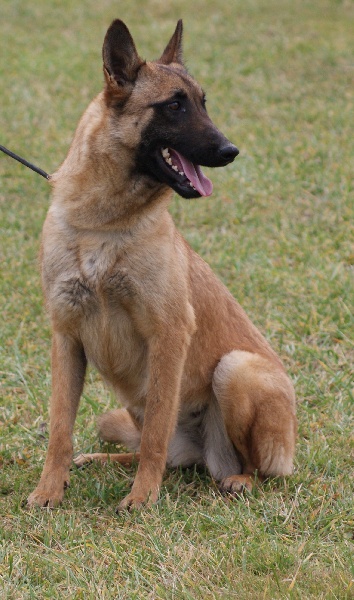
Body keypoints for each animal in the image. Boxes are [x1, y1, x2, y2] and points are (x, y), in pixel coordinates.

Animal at [28, 19, 296, 510]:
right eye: (174, 105)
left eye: (204, 103)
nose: (231, 150)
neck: (103, 224)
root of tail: (207, 457)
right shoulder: (66, 337)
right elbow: (60, 430)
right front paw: (48, 491)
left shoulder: (169, 334)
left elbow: (155, 431)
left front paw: (142, 499)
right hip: (122, 411)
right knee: (154, 452)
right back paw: (102, 461)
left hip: (236, 370)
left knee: (248, 468)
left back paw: (238, 480)